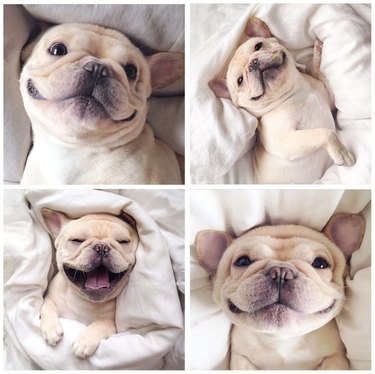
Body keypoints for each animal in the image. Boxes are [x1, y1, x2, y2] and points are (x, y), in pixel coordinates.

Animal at [40, 209, 140, 358]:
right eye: (77, 240)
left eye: (123, 242)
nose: (101, 247)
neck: (85, 301)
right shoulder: (51, 297)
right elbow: (46, 306)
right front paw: (51, 329)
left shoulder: (115, 326)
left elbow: (102, 323)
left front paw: (84, 342)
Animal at [195, 212, 366, 370]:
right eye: (242, 261)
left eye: (320, 263)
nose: (280, 272)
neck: (281, 341)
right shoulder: (241, 358)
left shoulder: (335, 357)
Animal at [212, 17, 356, 184]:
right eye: (240, 81)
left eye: (258, 46)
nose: (252, 63)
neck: (295, 91)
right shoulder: (287, 141)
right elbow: (325, 133)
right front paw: (342, 152)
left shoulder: (330, 101)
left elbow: (318, 74)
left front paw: (317, 56)